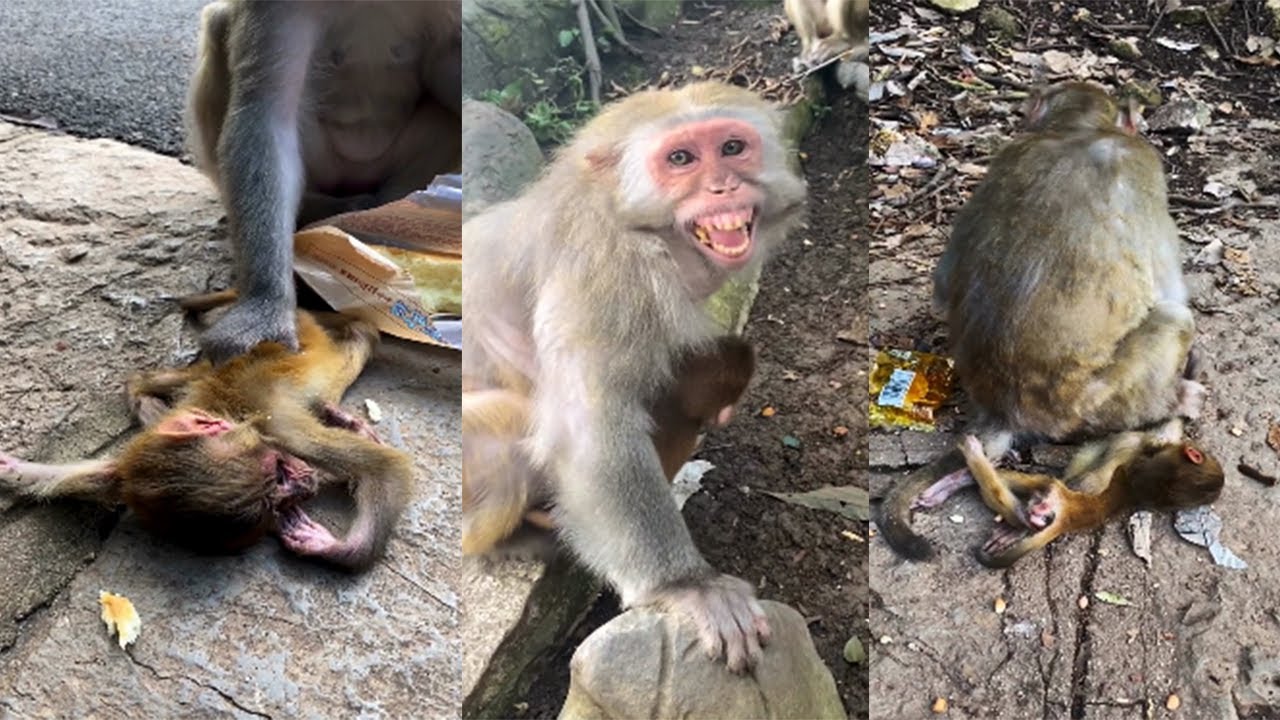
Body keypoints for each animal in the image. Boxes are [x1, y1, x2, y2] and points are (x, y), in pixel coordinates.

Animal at [0, 291, 412, 571]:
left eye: (279, 474)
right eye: (276, 501)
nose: (306, 485)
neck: (230, 412)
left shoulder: (281, 426)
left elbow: (385, 467)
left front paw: (331, 550)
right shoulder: (129, 472)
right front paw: (11, 468)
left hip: (296, 331)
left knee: (358, 337)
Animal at [185, 1, 461, 363]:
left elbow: (451, 67)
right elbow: (268, 116)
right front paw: (266, 304)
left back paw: (383, 209)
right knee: (218, 24)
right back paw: (324, 210)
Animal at [876, 82, 1204, 561]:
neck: (1076, 130)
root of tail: (1004, 411)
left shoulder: (1005, 154)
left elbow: (943, 282)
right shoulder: (1142, 163)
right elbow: (1170, 288)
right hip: (1099, 402)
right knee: (1175, 316)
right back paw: (1175, 398)